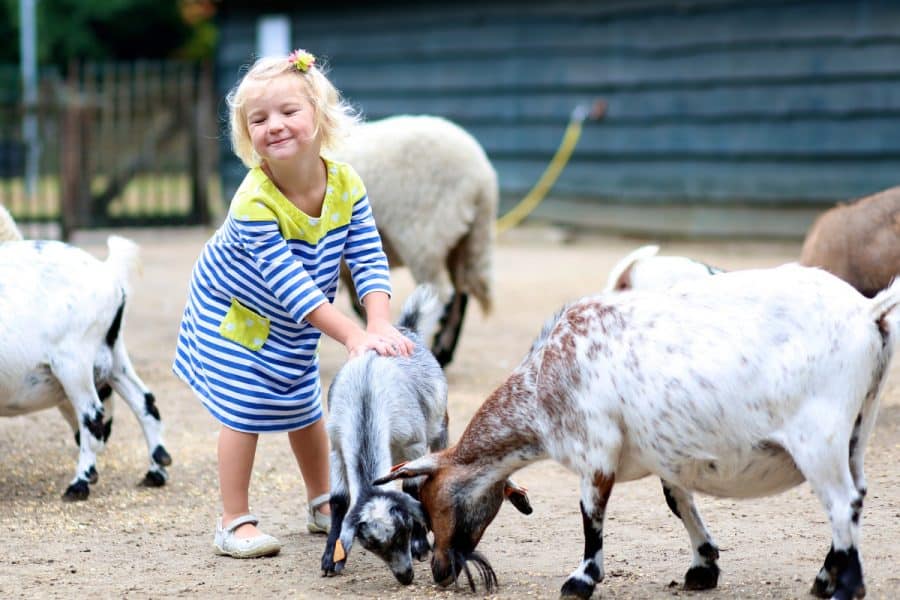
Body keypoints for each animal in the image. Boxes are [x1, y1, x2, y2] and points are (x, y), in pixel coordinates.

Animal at [0, 223, 171, 500]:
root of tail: (109, 272)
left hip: (73, 361)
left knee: (92, 415)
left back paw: (79, 483)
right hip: (113, 354)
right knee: (144, 401)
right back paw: (156, 471)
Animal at [332, 112, 500, 366]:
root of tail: (483, 181)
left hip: (424, 234)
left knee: (442, 292)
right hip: (459, 240)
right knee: (460, 294)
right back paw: (443, 351)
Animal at [380, 268, 900, 600]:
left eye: (430, 498)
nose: (439, 571)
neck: (546, 375)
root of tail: (867, 310)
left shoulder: (596, 447)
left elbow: (591, 513)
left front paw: (581, 581)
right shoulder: (665, 454)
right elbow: (678, 500)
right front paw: (702, 567)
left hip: (819, 436)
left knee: (841, 503)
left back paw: (844, 588)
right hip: (857, 428)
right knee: (856, 497)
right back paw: (824, 578)